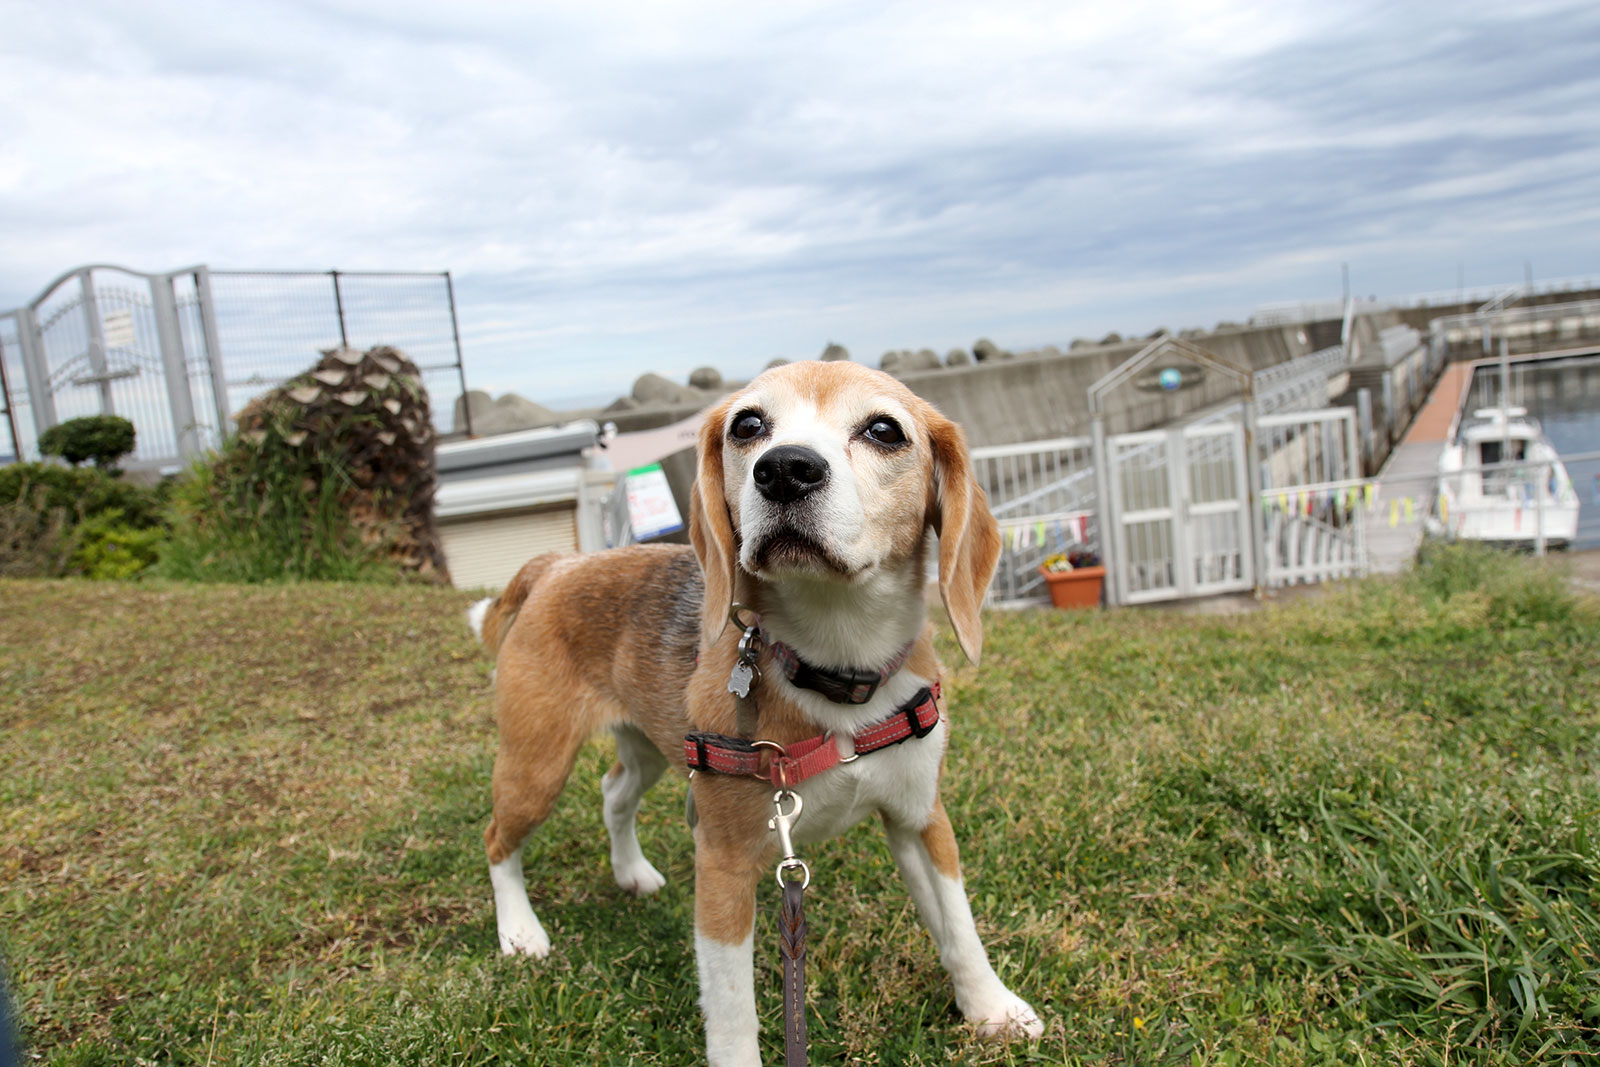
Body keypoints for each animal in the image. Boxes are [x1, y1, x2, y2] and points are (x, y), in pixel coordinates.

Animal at [467, 361, 1043, 1067]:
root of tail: (559, 563)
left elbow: (960, 927)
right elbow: (733, 1007)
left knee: (613, 792)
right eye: (747, 425)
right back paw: (520, 931)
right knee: (499, 841)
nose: (786, 468)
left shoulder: (921, 819)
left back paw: (631, 872)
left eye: (884, 430)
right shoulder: (724, 862)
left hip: (652, 748)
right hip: (537, 766)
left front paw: (991, 1008)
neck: (836, 664)